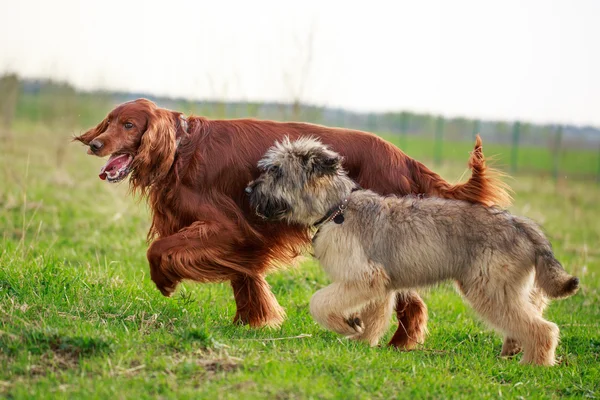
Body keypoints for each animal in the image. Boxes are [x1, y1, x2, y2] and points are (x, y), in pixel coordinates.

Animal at [75, 98, 510, 348]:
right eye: (110, 121)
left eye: (129, 125)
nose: (95, 145)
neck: (182, 149)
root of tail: (404, 158)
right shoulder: (245, 232)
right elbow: (244, 275)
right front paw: (252, 319)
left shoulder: (227, 225)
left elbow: (159, 249)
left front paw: (165, 282)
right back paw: (401, 341)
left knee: (410, 298)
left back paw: (401, 343)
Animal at [246, 137, 580, 366]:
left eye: (276, 171)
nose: (248, 190)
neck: (336, 210)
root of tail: (522, 225)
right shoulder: (379, 285)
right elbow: (375, 316)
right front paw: (361, 340)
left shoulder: (364, 276)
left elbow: (319, 302)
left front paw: (346, 325)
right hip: (515, 289)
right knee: (531, 317)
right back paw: (513, 349)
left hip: (491, 288)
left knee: (544, 329)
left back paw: (534, 363)